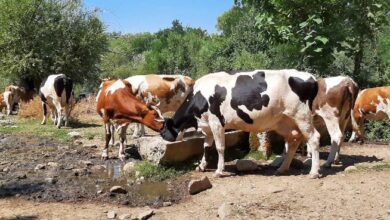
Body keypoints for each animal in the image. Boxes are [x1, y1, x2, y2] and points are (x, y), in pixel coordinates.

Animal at [160, 70, 322, 179]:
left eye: (163, 128)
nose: (162, 136)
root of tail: (311, 77)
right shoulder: (207, 126)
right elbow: (206, 147)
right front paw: (201, 166)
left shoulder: (216, 122)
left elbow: (219, 148)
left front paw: (219, 171)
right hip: (285, 122)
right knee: (293, 141)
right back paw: (282, 168)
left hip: (302, 116)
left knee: (314, 138)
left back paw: (313, 172)